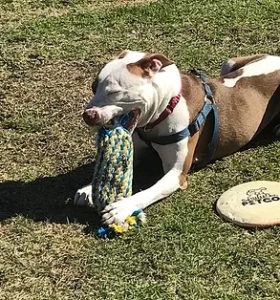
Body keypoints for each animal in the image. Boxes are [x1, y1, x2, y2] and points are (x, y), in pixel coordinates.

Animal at [74, 50, 280, 226]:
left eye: (114, 92)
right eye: (93, 88)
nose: (87, 115)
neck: (164, 108)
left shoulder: (175, 174)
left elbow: (150, 191)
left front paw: (122, 208)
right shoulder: (138, 151)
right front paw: (88, 189)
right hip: (229, 63)